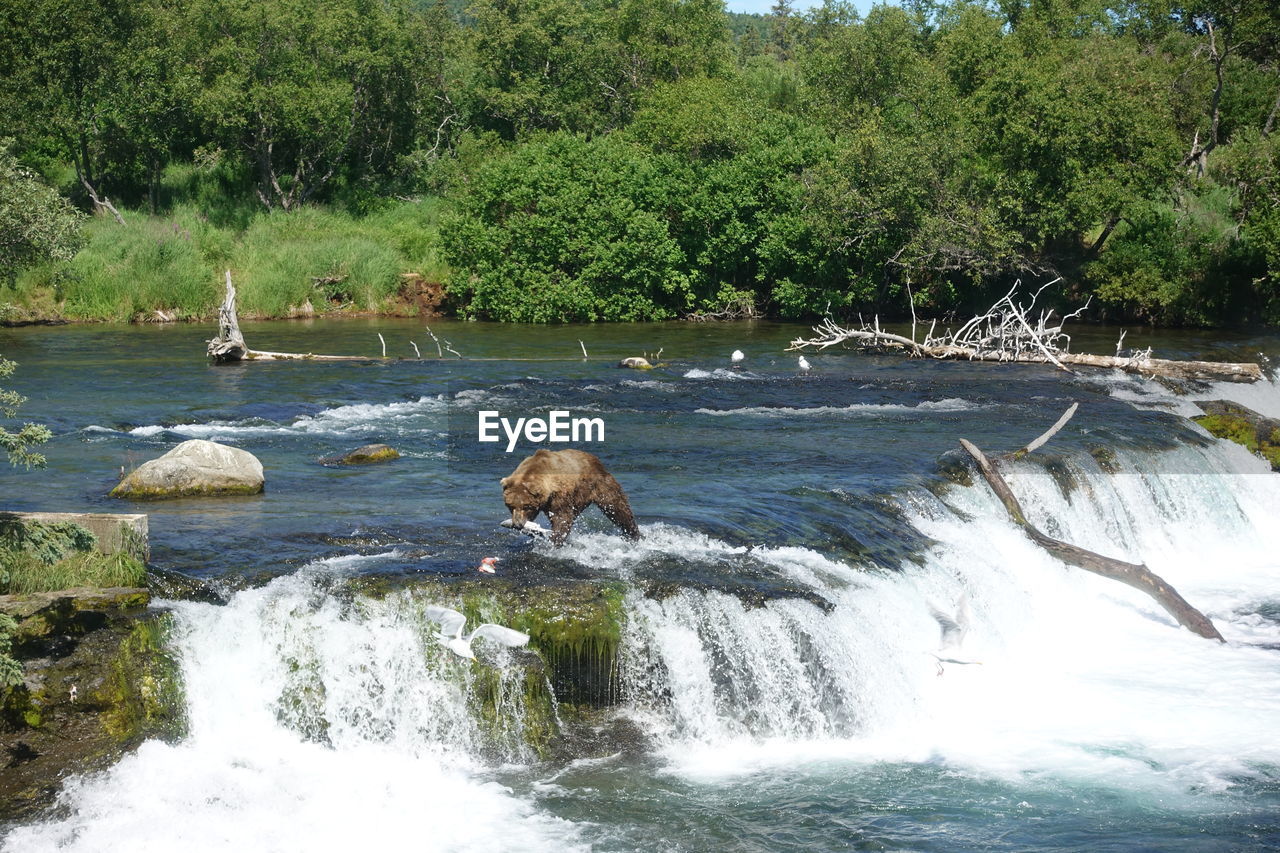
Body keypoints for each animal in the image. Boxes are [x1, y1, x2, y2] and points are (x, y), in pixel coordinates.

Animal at [499, 445, 640, 545]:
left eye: (526, 506)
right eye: (510, 506)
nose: (517, 525)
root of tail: (593, 457)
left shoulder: (560, 494)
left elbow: (562, 517)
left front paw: (555, 539)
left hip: (600, 484)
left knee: (617, 508)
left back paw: (634, 534)